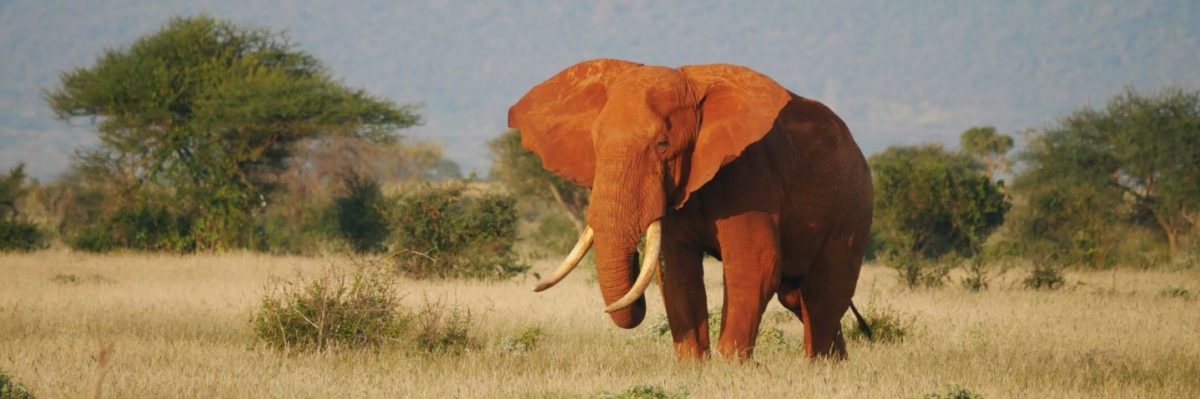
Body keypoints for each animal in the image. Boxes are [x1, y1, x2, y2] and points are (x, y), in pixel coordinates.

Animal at [506, 57, 873, 360]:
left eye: (662, 145)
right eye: (594, 144)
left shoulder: (752, 176)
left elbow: (755, 266)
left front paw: (730, 367)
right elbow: (677, 273)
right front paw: (694, 366)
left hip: (852, 209)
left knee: (823, 295)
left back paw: (819, 366)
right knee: (797, 297)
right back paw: (836, 364)